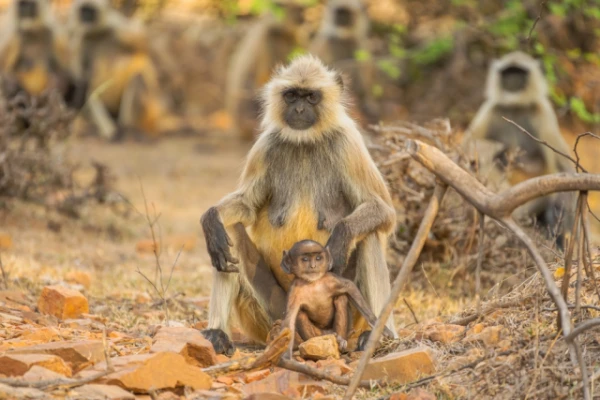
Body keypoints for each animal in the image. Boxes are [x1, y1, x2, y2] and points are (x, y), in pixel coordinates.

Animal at [202, 54, 398, 354]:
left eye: (311, 96)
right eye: (292, 95)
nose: (299, 108)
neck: (305, 143)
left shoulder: (348, 143)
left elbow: (384, 212)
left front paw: (340, 236)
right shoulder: (265, 146)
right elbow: (245, 207)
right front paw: (210, 219)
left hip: (348, 315)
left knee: (369, 235)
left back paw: (376, 334)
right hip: (274, 312)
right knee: (229, 232)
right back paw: (217, 333)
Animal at [464, 51, 576, 247]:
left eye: (520, 72)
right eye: (508, 72)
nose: (513, 79)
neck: (515, 106)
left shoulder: (543, 113)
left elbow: (565, 171)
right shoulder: (490, 109)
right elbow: (464, 147)